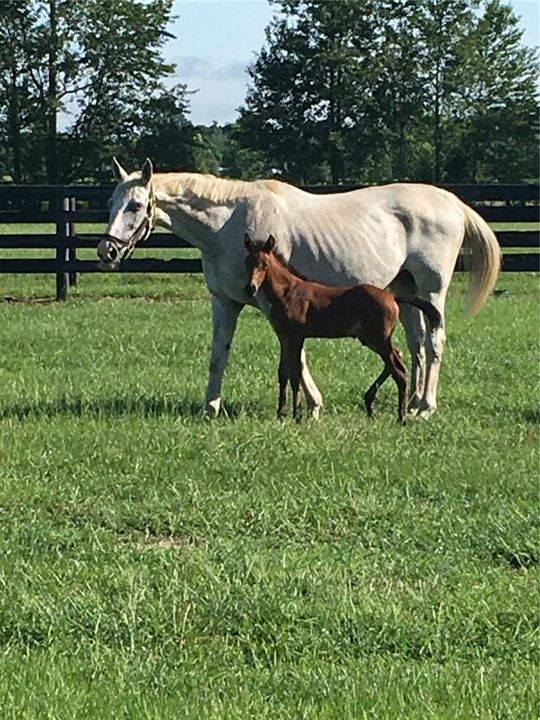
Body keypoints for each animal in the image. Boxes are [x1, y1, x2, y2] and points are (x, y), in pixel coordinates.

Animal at [244, 233, 438, 422]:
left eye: (265, 264)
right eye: (247, 262)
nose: (250, 288)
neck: (289, 293)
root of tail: (393, 297)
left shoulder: (296, 337)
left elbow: (295, 375)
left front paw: (297, 415)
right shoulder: (284, 338)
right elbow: (283, 373)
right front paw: (281, 414)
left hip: (378, 339)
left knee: (399, 371)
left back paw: (401, 417)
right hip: (370, 339)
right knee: (396, 358)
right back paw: (371, 404)